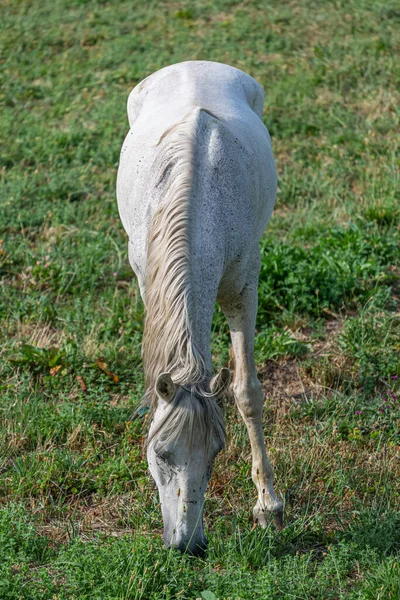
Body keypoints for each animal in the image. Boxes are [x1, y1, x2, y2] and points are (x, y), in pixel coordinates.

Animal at [117, 61, 282, 556]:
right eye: (160, 453)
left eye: (216, 453)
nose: (188, 545)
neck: (201, 205)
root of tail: (192, 64)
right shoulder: (147, 283)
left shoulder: (243, 290)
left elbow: (248, 392)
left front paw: (268, 507)